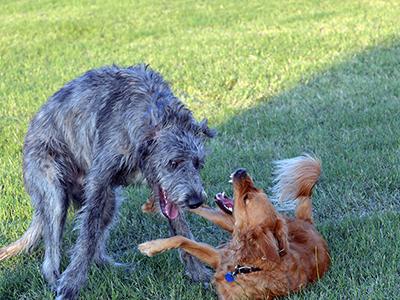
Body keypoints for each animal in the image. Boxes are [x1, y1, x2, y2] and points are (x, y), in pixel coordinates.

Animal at [0, 64, 216, 298]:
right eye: (173, 162)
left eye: (198, 163)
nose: (195, 201)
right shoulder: (98, 180)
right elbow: (87, 237)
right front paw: (71, 284)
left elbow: (182, 230)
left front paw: (198, 273)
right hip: (54, 193)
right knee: (51, 258)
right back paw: (56, 280)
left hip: (110, 201)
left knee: (97, 246)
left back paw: (114, 268)